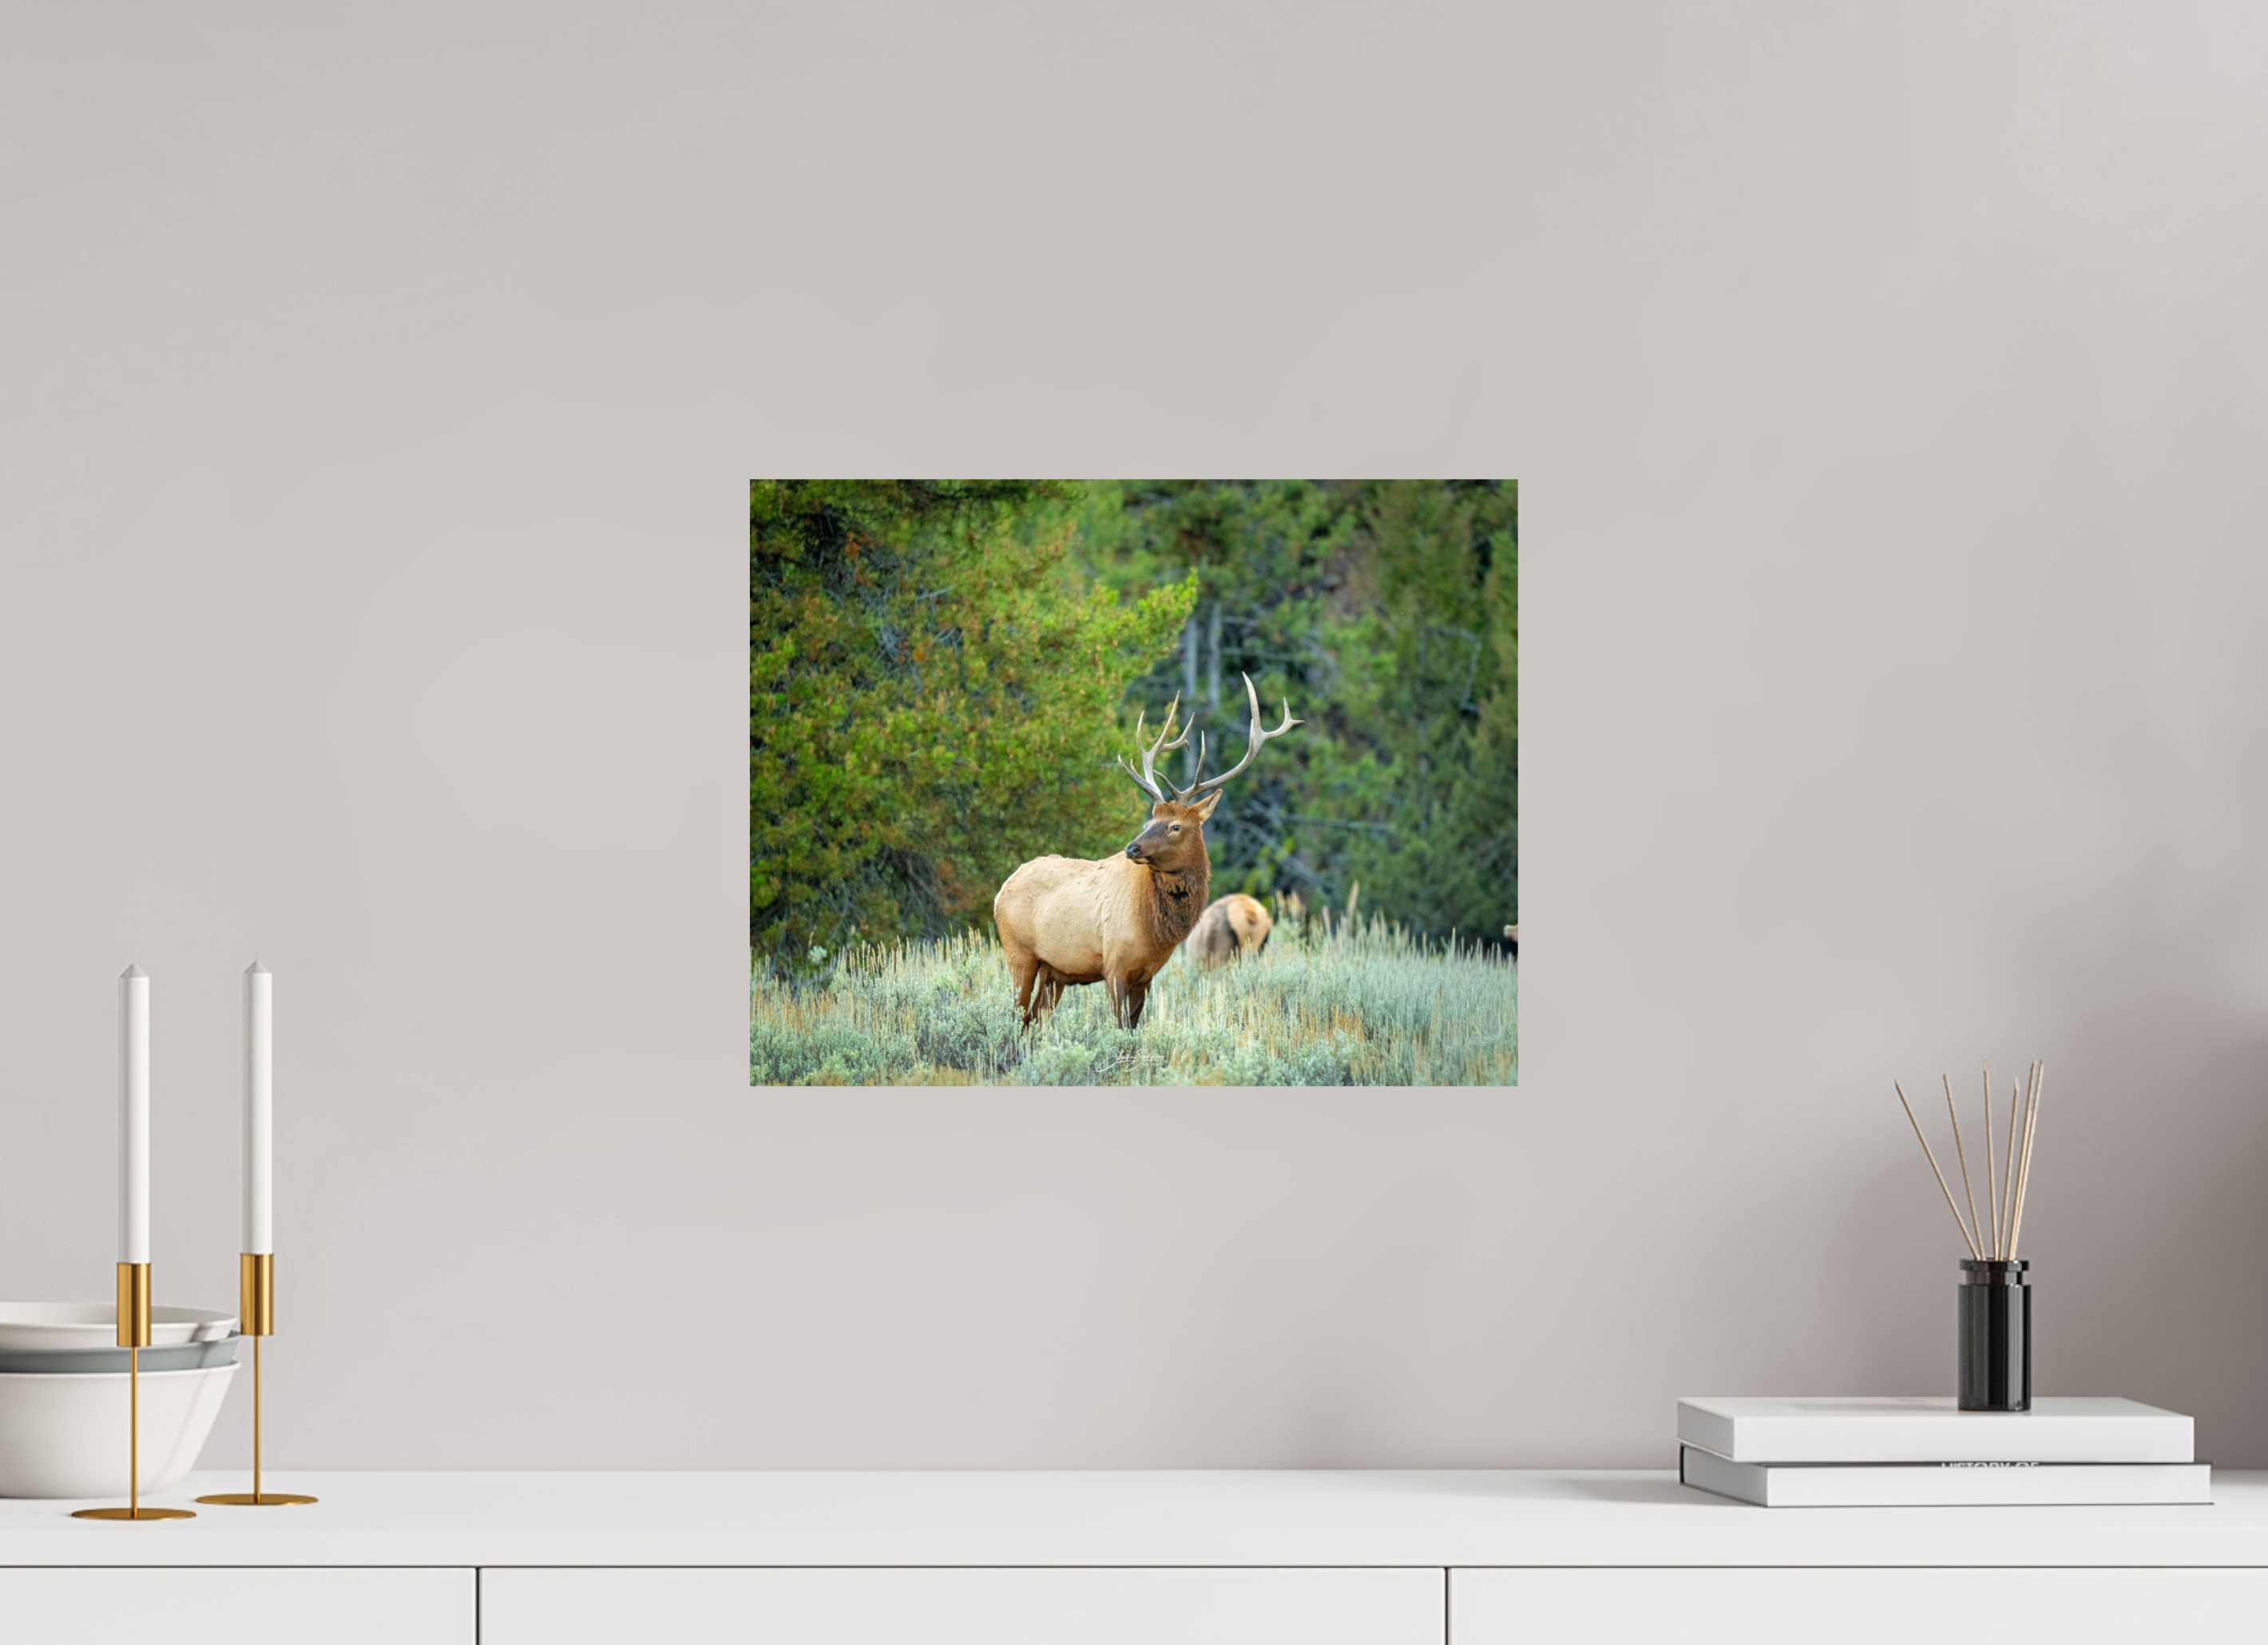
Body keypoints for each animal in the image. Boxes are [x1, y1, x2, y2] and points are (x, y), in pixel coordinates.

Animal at [993, 673, 1299, 1029]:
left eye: (1175, 826)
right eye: (1149, 820)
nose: (1132, 847)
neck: (1154, 932)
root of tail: (1001, 891)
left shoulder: (1147, 975)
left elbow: (1134, 1029)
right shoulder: (1114, 965)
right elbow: (1120, 1029)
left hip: (1054, 972)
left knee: (1034, 1022)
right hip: (1019, 954)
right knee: (1017, 1017)